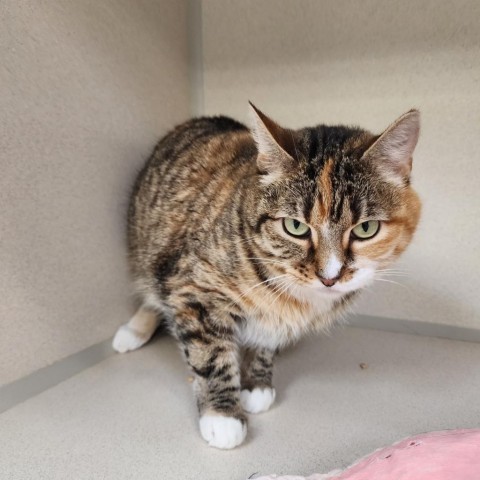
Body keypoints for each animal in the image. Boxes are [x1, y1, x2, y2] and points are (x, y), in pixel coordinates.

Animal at [112, 102, 420, 450]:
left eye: (366, 229)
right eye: (295, 226)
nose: (330, 277)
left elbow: (267, 341)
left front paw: (256, 384)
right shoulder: (193, 289)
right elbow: (211, 354)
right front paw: (223, 416)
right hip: (147, 247)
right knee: (152, 289)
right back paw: (132, 332)